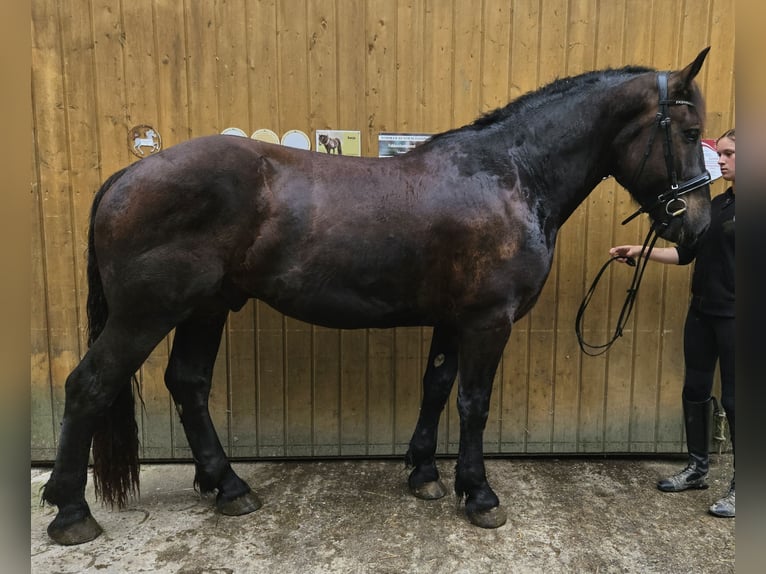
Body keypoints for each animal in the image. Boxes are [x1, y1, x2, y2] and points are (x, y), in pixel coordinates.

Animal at [42, 48, 712, 544]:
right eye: (688, 130)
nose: (699, 227)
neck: (509, 175)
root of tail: (130, 174)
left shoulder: (455, 320)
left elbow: (436, 386)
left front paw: (425, 474)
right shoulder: (488, 321)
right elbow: (473, 403)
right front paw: (479, 494)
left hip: (205, 308)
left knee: (187, 384)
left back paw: (228, 487)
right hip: (145, 314)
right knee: (90, 385)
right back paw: (72, 513)